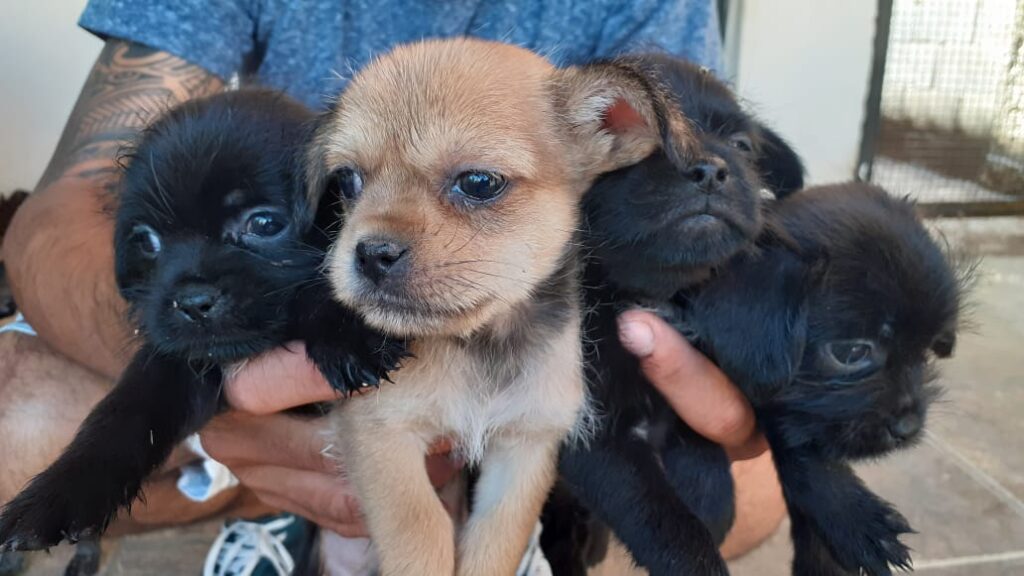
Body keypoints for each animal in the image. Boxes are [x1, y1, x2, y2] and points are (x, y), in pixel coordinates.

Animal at [0, 87, 405, 549]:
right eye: (147, 241)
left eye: (264, 223)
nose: (193, 301)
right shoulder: (175, 363)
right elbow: (125, 414)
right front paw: (57, 494)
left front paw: (350, 331)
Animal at [309, 38, 696, 569]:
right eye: (348, 181)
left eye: (479, 183)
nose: (370, 253)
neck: (487, 343)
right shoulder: (381, 433)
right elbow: (422, 534)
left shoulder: (526, 449)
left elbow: (493, 546)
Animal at [552, 54, 798, 573]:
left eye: (741, 146)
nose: (709, 169)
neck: (638, 292)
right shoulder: (591, 435)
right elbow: (659, 515)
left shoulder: (680, 406)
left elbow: (704, 462)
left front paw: (711, 504)